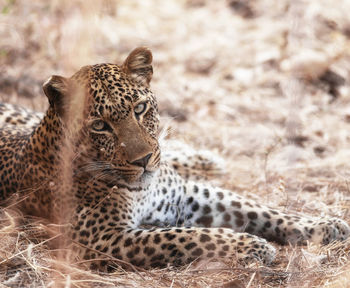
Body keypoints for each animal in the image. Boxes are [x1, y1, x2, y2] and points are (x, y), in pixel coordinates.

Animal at [0, 46, 348, 270]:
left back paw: (207, 159)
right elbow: (189, 237)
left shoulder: (188, 194)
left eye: (140, 108)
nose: (143, 159)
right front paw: (251, 245)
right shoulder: (104, 238)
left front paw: (323, 224)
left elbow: (257, 209)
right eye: (99, 125)